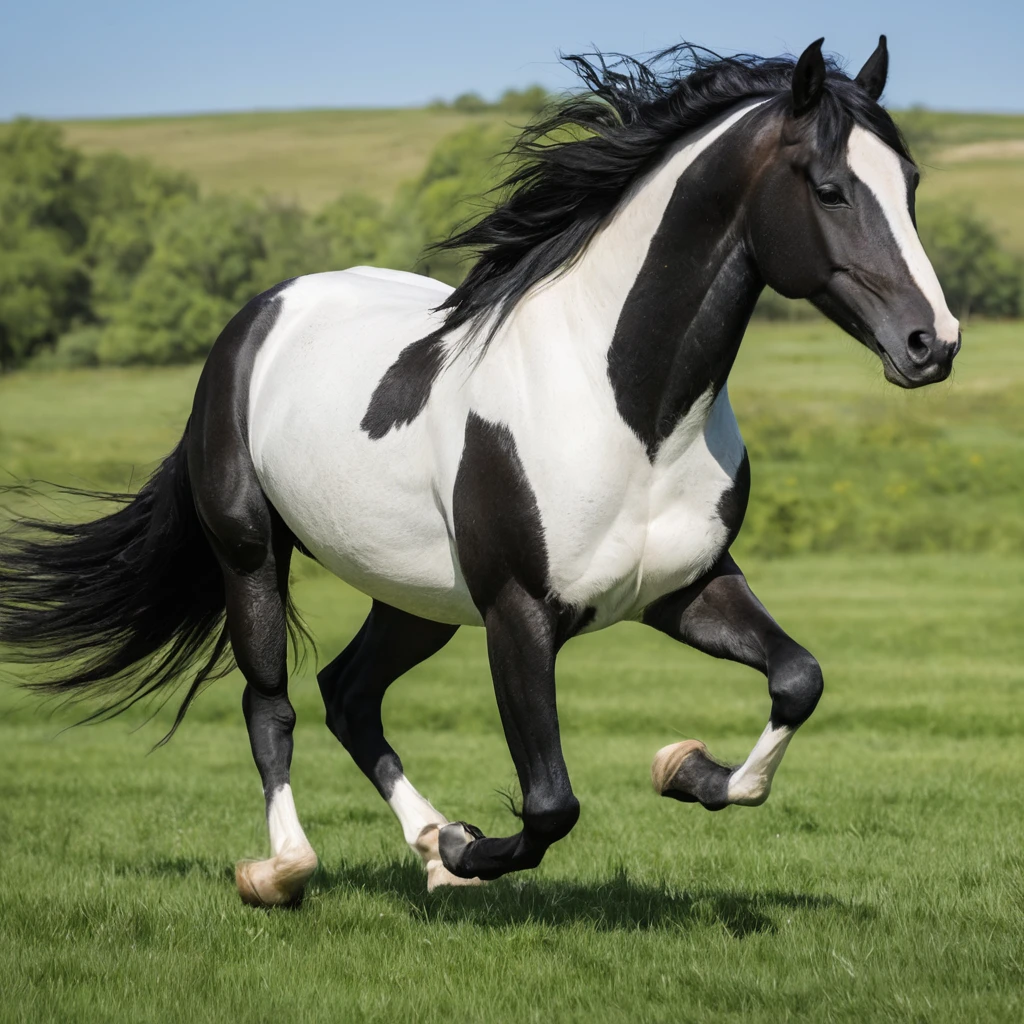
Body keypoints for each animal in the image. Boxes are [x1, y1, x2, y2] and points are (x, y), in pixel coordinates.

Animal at [0, 36, 961, 907]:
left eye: (912, 185)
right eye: (830, 188)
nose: (933, 343)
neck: (631, 412)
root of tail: (257, 317)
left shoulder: (684, 588)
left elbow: (798, 681)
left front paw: (680, 767)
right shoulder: (518, 614)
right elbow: (550, 805)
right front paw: (470, 848)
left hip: (415, 595)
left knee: (349, 694)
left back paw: (426, 844)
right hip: (252, 557)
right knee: (273, 706)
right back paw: (284, 871)